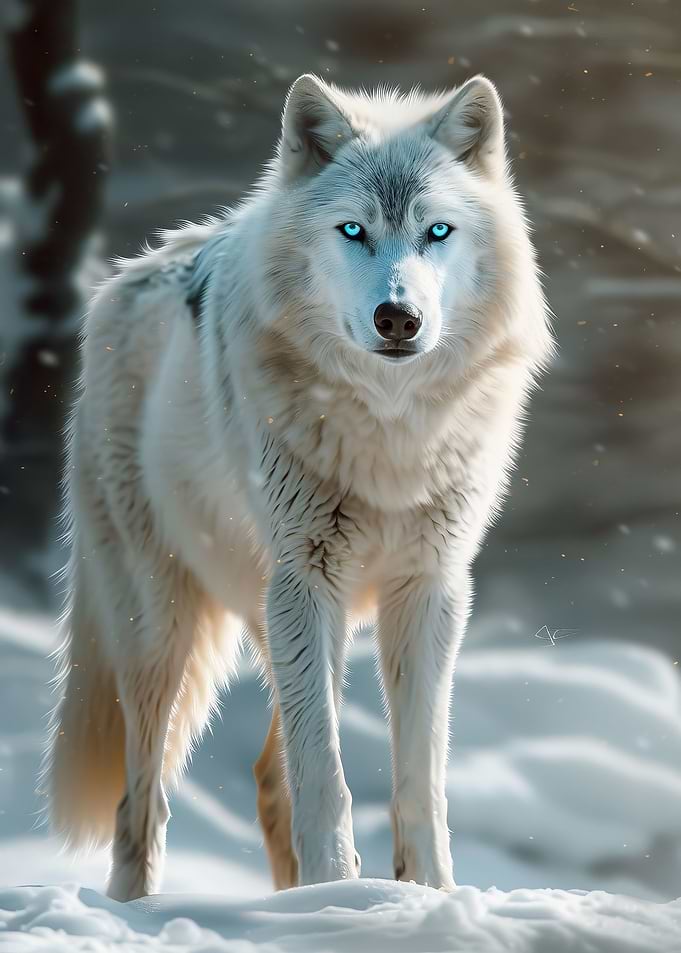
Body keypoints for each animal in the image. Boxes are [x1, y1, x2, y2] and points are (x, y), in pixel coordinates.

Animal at [43, 73, 553, 901]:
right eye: (352, 231)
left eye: (436, 232)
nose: (397, 316)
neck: (389, 430)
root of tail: (125, 275)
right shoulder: (307, 579)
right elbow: (327, 777)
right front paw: (349, 889)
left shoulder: (430, 590)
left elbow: (419, 779)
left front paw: (426, 895)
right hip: (165, 631)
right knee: (140, 800)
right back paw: (146, 905)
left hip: (282, 617)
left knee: (266, 779)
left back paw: (301, 903)